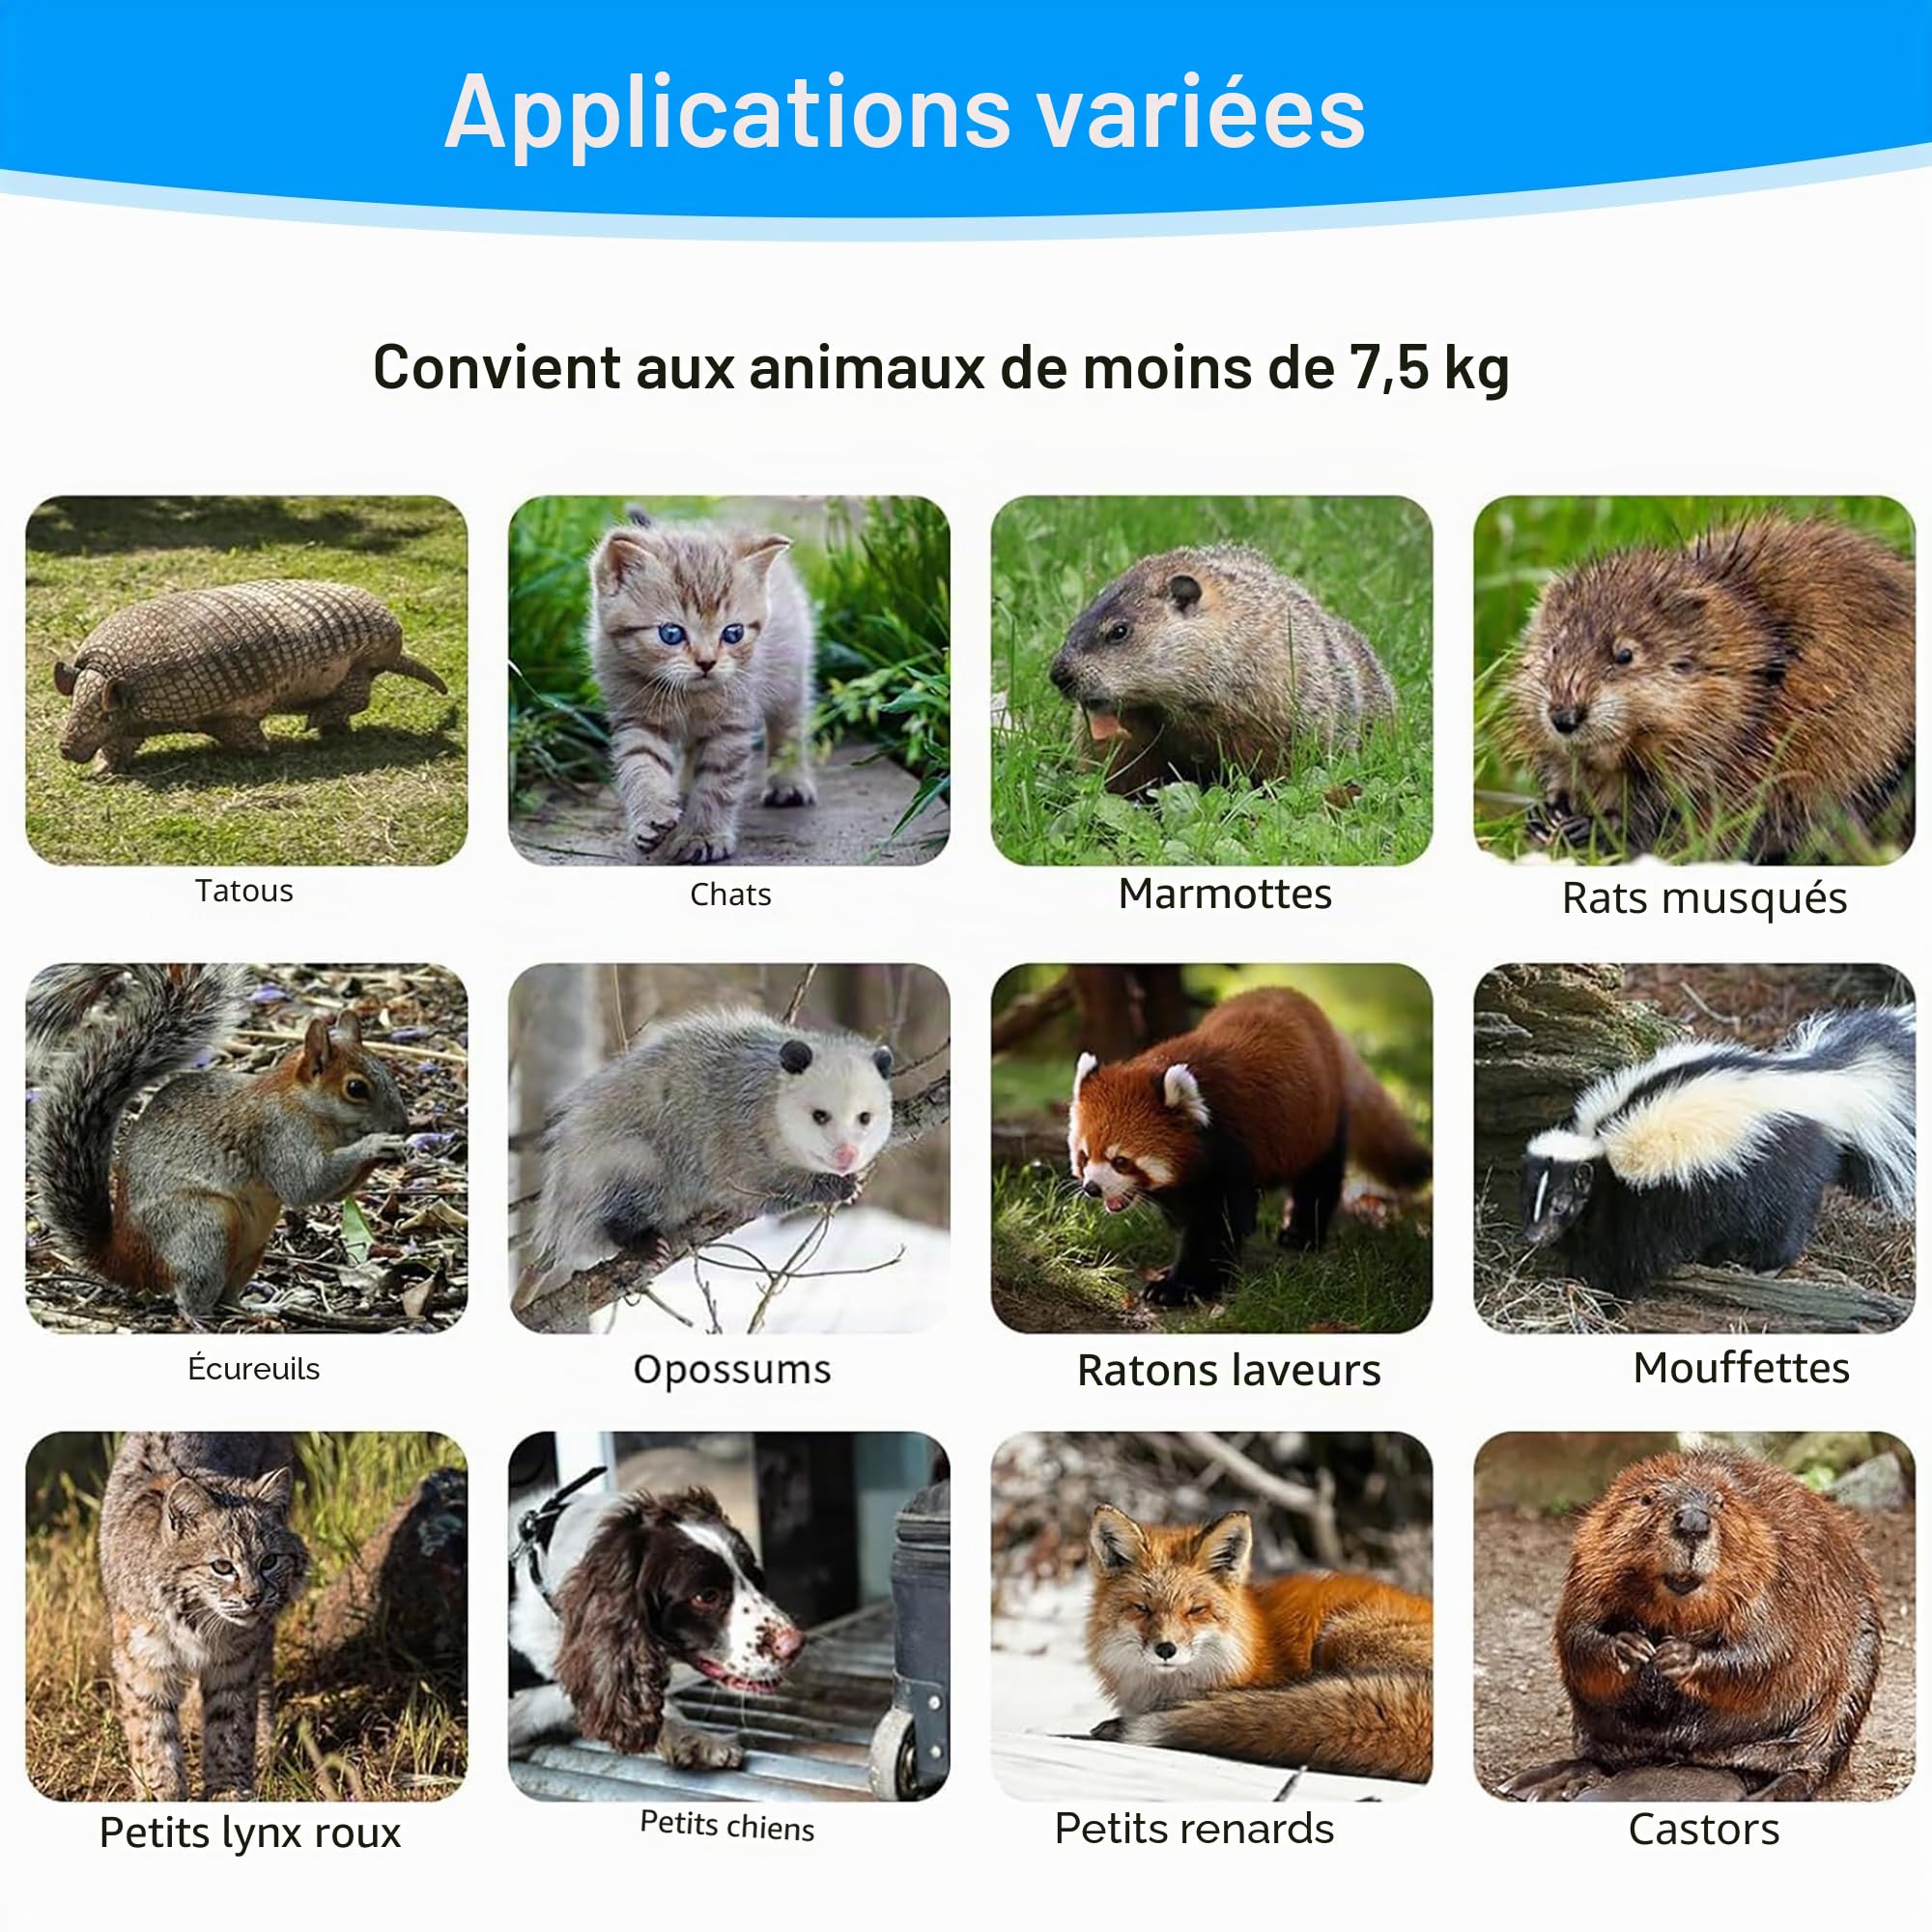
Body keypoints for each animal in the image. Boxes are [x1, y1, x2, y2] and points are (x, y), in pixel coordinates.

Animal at [1067, 984, 1432, 1306]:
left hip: (1320, 1121)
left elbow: (1217, 1226)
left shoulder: (1232, 1150)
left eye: (1121, 1161)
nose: (1092, 1188)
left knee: (1320, 1177)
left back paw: (1301, 1234)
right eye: (1084, 1156)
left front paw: (1180, 1286)